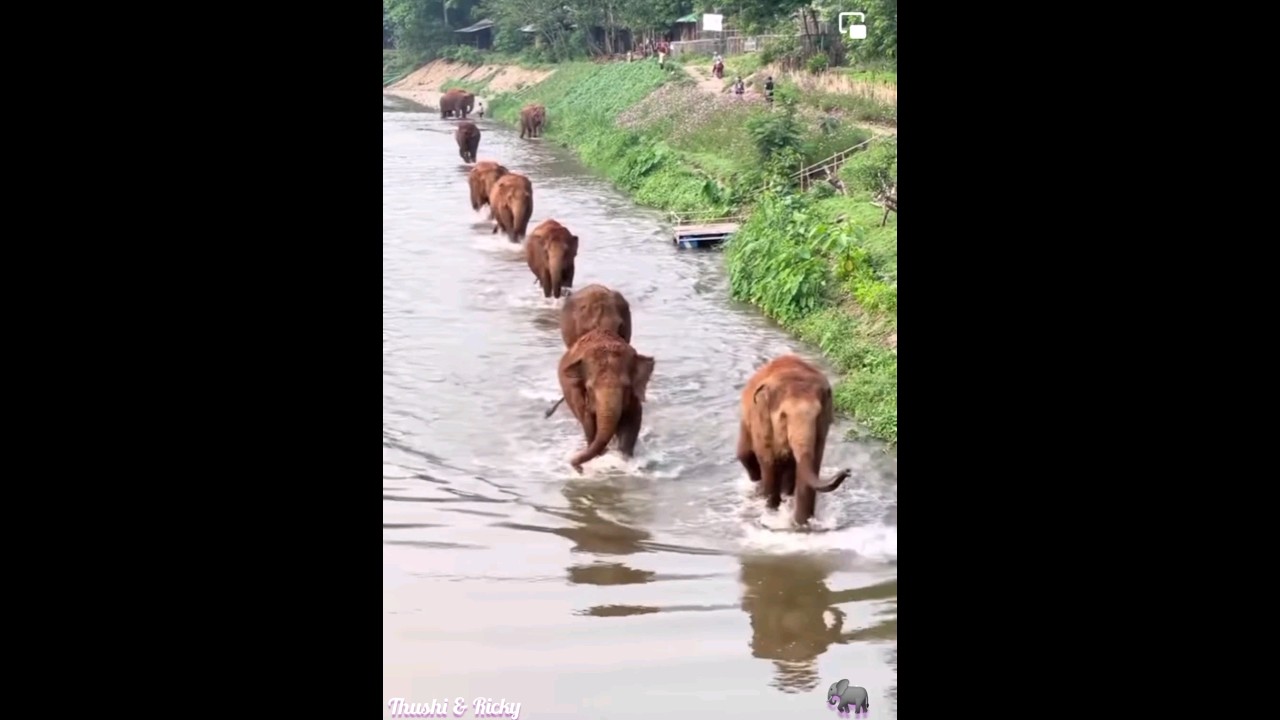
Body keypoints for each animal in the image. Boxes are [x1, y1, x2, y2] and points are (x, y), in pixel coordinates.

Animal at [557, 329, 655, 473]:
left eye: (626, 386)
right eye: (589, 388)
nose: (579, 468)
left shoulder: (634, 396)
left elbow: (633, 420)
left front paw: (624, 459)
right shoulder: (580, 398)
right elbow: (589, 424)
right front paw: (602, 456)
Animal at [737, 354, 852, 526]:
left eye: (817, 415)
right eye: (783, 416)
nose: (848, 471)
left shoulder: (821, 430)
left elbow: (812, 464)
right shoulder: (761, 422)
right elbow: (769, 463)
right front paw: (771, 512)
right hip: (746, 425)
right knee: (746, 457)